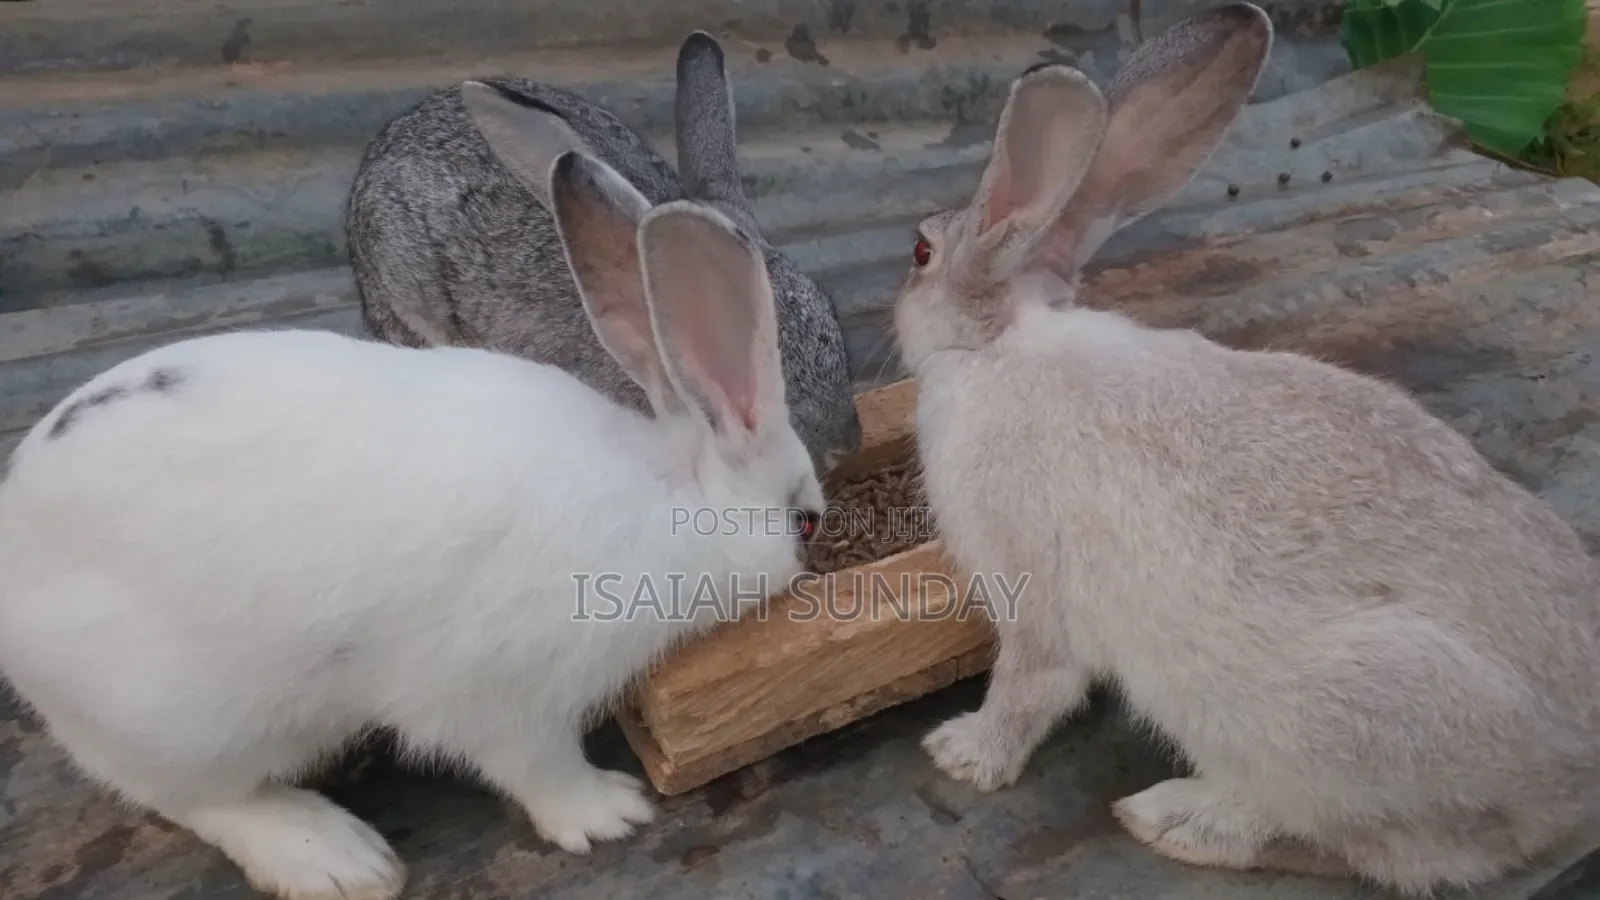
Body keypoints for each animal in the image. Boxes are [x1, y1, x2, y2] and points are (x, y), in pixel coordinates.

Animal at [0, 148, 825, 900]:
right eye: (807, 522)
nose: (810, 557)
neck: (666, 496)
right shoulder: (505, 692)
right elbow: (536, 766)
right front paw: (610, 813)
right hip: (181, 721)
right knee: (193, 798)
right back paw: (337, 858)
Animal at [895, 3, 1600, 895]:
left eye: (921, 255)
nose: (896, 297)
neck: (994, 346)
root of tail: (1573, 785)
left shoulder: (1032, 594)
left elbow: (1030, 688)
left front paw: (963, 755)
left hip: (1330, 727)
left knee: (1398, 854)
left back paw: (1178, 819)